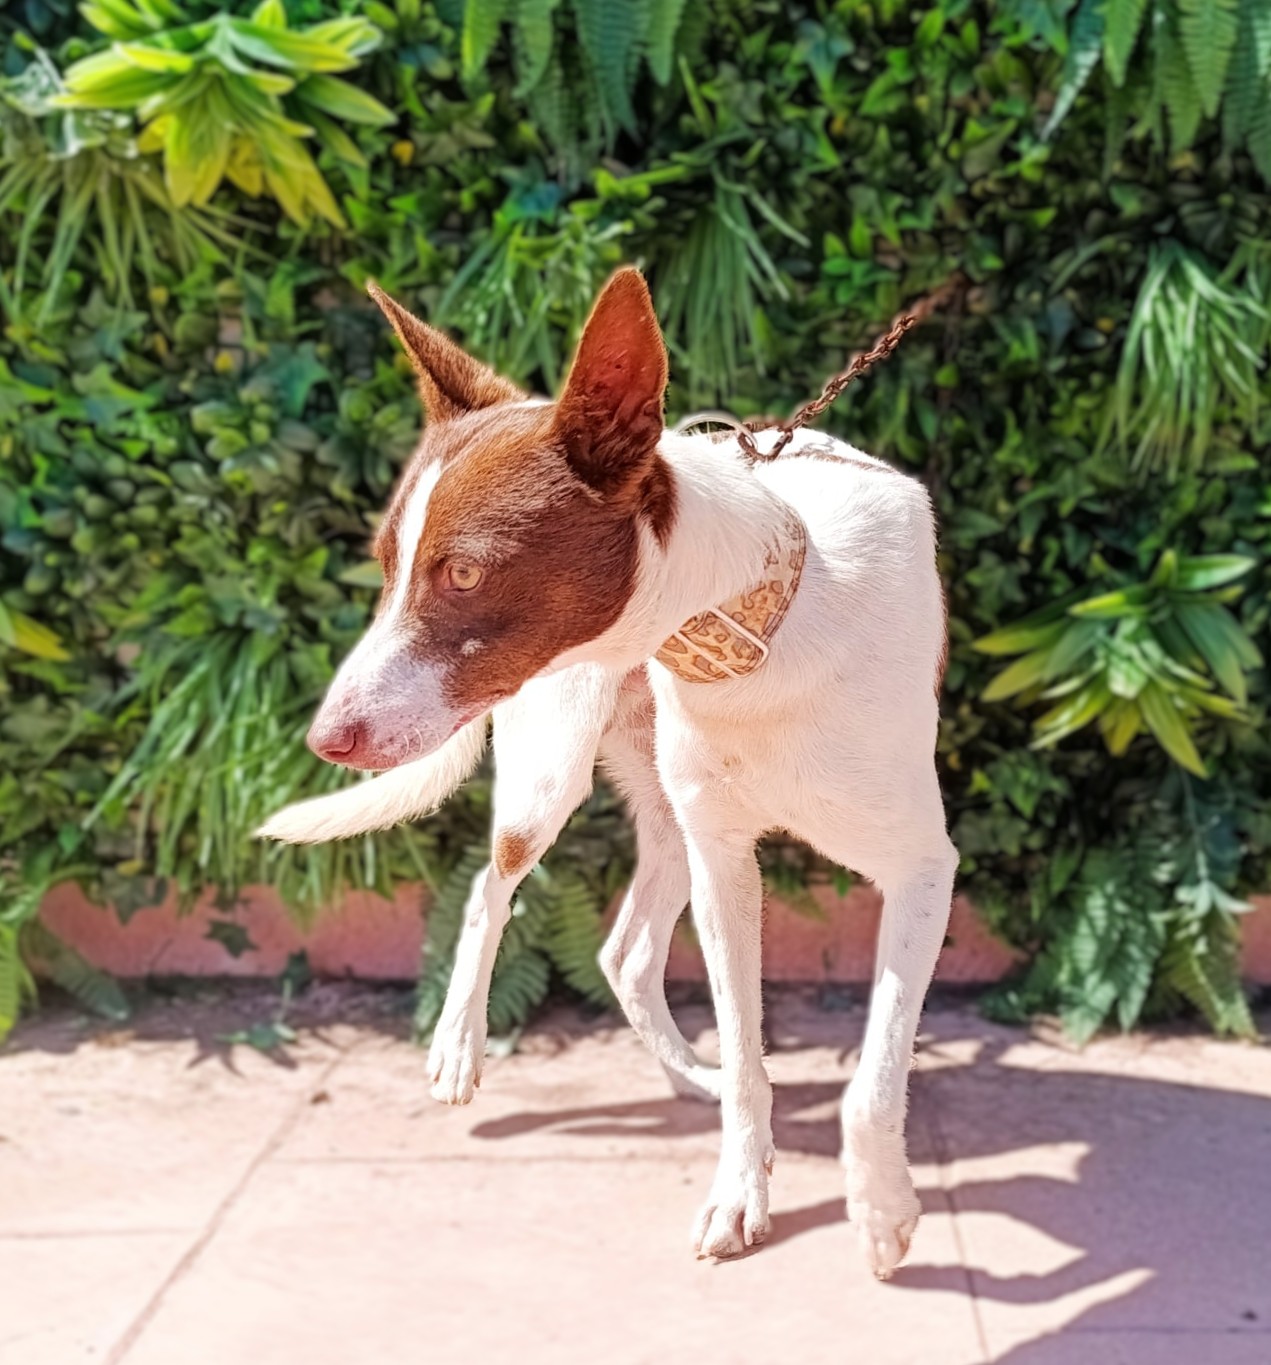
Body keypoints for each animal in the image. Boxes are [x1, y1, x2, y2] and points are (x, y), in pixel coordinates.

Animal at [260, 268, 956, 1275]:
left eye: (463, 573)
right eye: (386, 566)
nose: (326, 739)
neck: (762, 624)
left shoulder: (918, 868)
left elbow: (872, 1073)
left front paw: (879, 1209)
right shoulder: (725, 858)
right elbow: (750, 1053)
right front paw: (745, 1188)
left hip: (669, 821)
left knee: (621, 953)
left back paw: (688, 1075)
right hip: (556, 781)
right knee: (491, 888)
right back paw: (460, 1046)